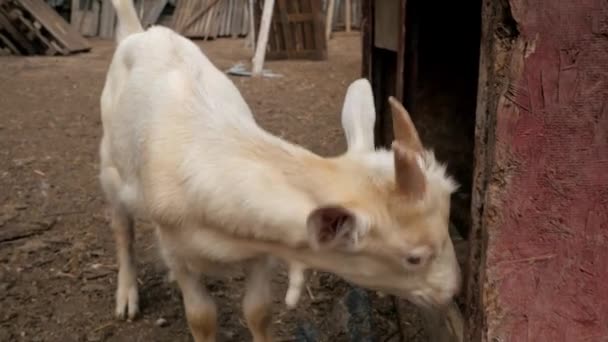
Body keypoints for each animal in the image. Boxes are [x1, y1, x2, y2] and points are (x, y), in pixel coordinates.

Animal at [100, 1, 460, 340]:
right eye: (414, 258)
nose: (452, 290)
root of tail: (141, 32)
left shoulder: (261, 246)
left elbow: (258, 310)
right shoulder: (177, 251)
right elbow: (201, 318)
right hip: (110, 166)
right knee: (121, 226)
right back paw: (126, 297)